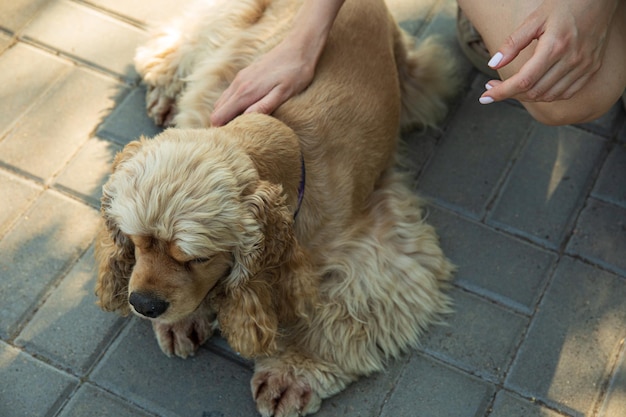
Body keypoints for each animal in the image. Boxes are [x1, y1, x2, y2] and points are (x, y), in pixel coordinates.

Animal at [94, 1, 454, 414]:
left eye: (198, 258)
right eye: (135, 241)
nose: (143, 304)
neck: (284, 137)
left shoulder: (382, 251)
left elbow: (341, 311)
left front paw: (294, 371)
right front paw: (184, 319)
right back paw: (165, 92)